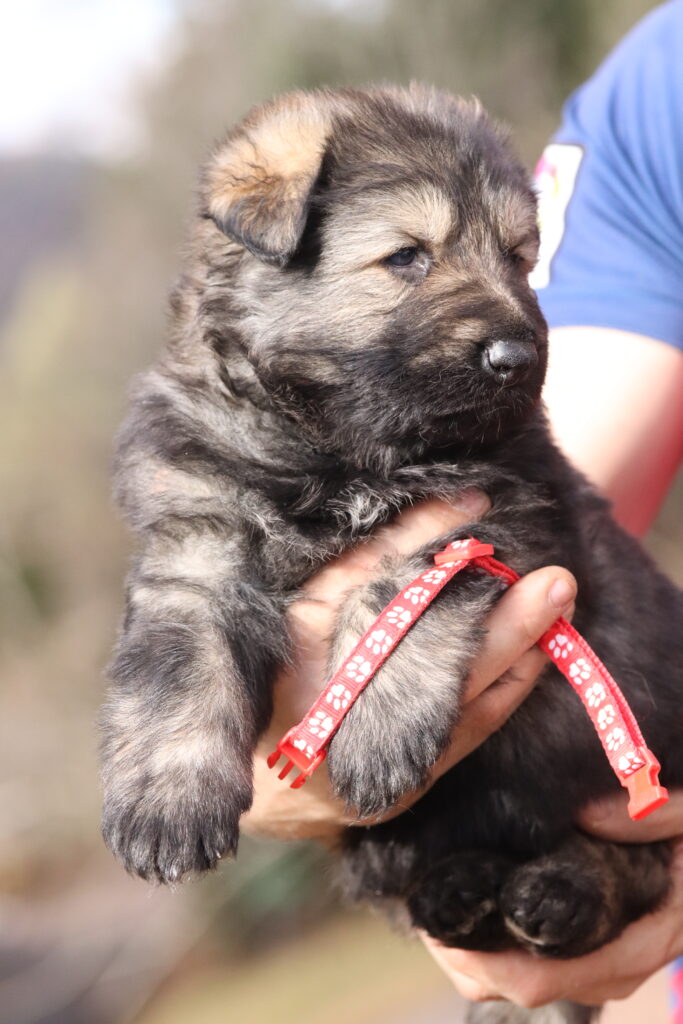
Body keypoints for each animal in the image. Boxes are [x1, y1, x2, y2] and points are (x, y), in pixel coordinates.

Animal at [102, 85, 683, 1024]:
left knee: (626, 869)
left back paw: (556, 895)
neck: (336, 450)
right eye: (407, 256)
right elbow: (176, 672)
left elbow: (394, 595)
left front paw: (374, 726)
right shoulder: (195, 543)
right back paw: (461, 894)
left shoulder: (490, 518)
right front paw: (164, 804)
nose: (516, 354)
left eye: (518, 257)